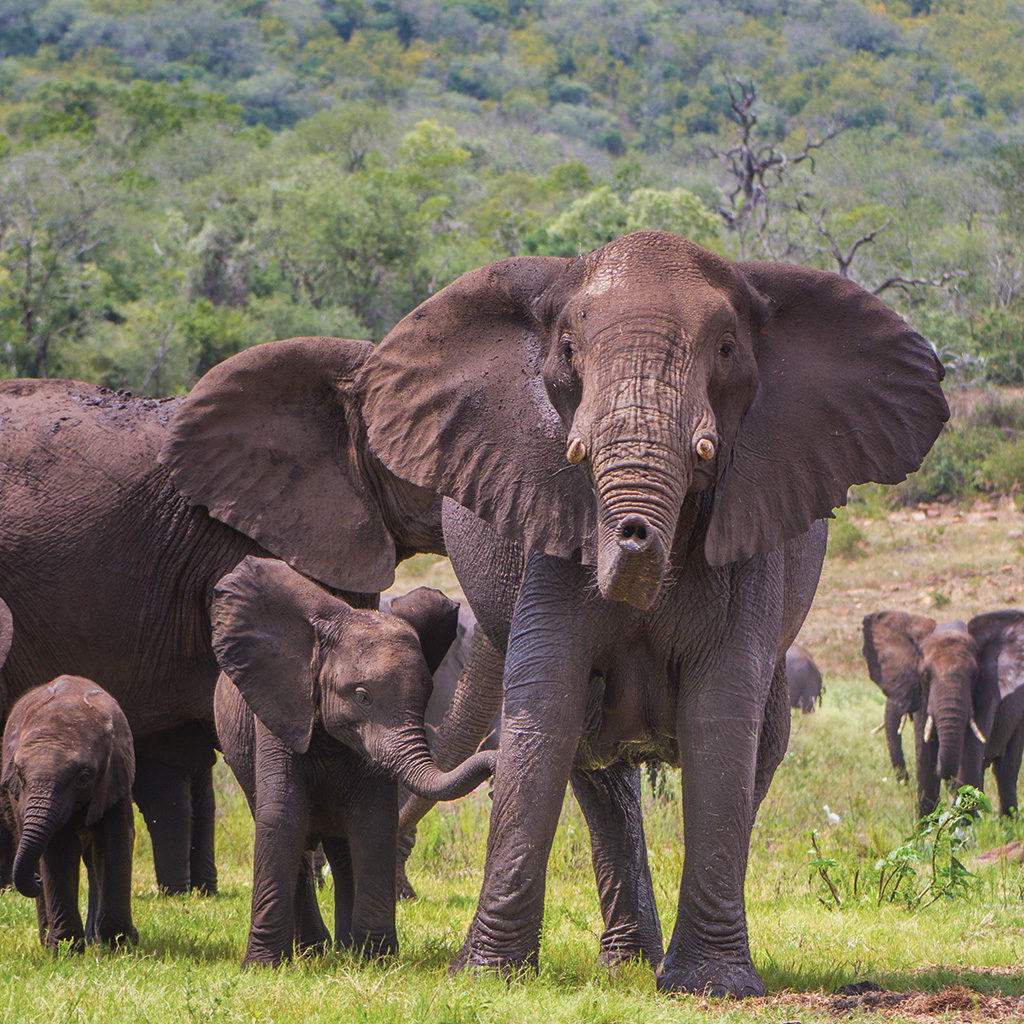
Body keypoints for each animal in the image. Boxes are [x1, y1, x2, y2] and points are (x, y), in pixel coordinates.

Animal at [1, 671, 137, 950]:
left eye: (84, 777)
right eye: (20, 775)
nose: (36, 880)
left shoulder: (115, 777)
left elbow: (116, 839)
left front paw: (119, 945)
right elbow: (59, 850)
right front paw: (67, 950)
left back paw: (97, 941)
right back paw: (50, 942)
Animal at [211, 561, 495, 966]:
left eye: (426, 695)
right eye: (362, 696)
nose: (496, 764)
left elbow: (373, 819)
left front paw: (377, 959)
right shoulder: (279, 710)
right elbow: (282, 816)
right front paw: (262, 966)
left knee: (343, 848)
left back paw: (345, 950)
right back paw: (312, 950)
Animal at [356, 230, 946, 991]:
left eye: (725, 349)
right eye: (568, 349)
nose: (634, 536)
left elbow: (720, 714)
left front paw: (709, 986)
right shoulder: (549, 529)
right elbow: (545, 705)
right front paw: (487, 977)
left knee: (754, 758)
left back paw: (656, 964)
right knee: (597, 772)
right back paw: (627, 964)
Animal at [864, 606, 1024, 815]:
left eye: (975, 675)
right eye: (925, 674)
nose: (903, 782)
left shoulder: (987, 693)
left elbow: (968, 759)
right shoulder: (924, 697)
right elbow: (925, 759)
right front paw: (926, 824)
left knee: (1005, 772)